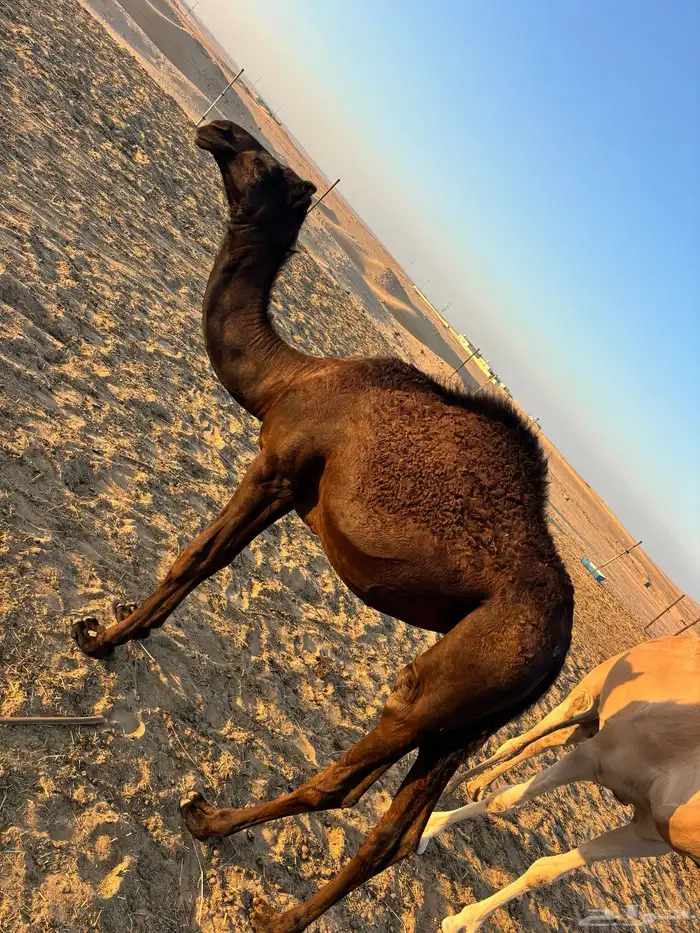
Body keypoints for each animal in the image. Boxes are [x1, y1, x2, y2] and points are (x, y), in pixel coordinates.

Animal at [73, 120, 574, 933]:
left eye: (267, 168)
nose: (219, 129)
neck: (291, 377)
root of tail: (559, 645)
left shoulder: (278, 463)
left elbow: (192, 559)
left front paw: (98, 639)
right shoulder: (289, 488)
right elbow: (212, 564)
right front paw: (122, 627)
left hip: (465, 668)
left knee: (351, 777)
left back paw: (214, 830)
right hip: (481, 711)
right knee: (399, 832)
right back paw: (282, 899)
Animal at [419, 636, 700, 933]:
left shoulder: (651, 835)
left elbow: (546, 872)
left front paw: (463, 921)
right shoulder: (594, 758)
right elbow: (503, 800)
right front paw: (428, 828)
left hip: (588, 724)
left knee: (542, 744)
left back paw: (474, 785)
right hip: (585, 699)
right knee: (521, 741)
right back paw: (455, 785)